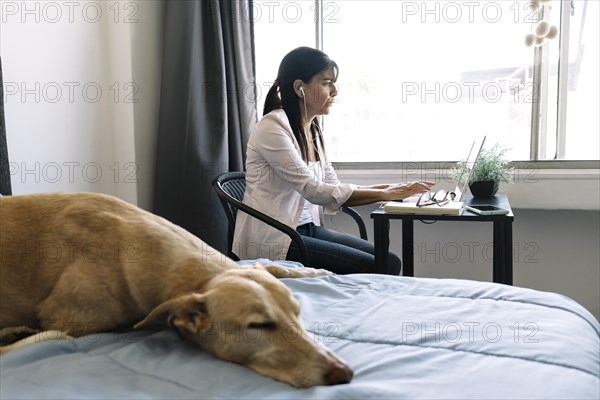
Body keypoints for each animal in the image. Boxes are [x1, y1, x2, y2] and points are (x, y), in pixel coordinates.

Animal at [0, 193, 354, 388]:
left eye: (299, 314)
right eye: (259, 325)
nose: (344, 373)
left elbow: (272, 267)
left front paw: (315, 271)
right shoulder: (68, 322)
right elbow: (51, 334)